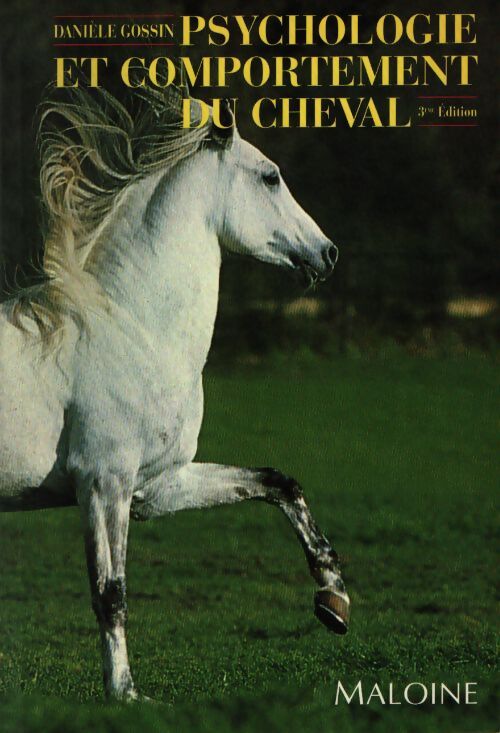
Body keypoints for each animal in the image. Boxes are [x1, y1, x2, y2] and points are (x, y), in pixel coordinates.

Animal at [0, 80, 350, 701]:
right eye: (270, 176)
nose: (327, 253)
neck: (134, 328)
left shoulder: (155, 487)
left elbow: (277, 483)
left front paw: (333, 595)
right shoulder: (103, 483)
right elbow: (110, 594)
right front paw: (126, 694)